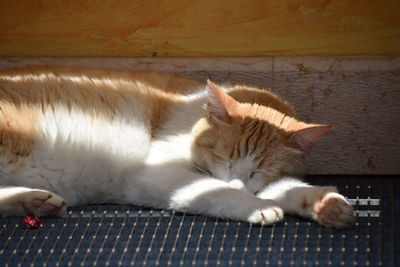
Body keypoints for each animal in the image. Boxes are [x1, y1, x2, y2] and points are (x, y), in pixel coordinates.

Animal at [0, 67, 354, 228]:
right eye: (224, 158)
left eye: (259, 170)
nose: (238, 181)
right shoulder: (156, 174)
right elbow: (215, 190)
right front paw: (256, 206)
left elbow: (283, 187)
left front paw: (325, 203)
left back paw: (32, 202)